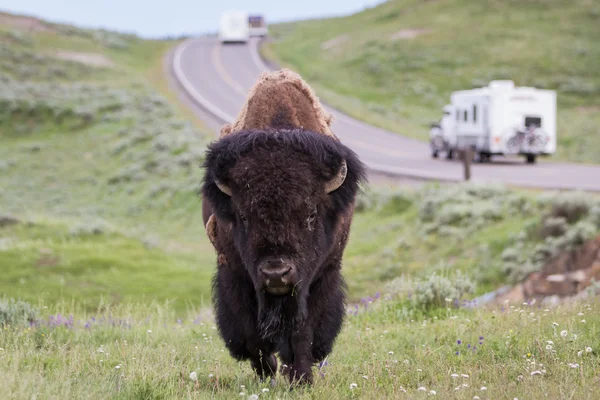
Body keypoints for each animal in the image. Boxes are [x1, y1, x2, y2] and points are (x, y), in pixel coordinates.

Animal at [200, 69, 366, 384]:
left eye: (310, 215)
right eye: (244, 217)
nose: (276, 273)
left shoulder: (319, 276)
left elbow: (303, 331)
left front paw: (300, 378)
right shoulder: (236, 274)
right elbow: (251, 332)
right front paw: (268, 371)